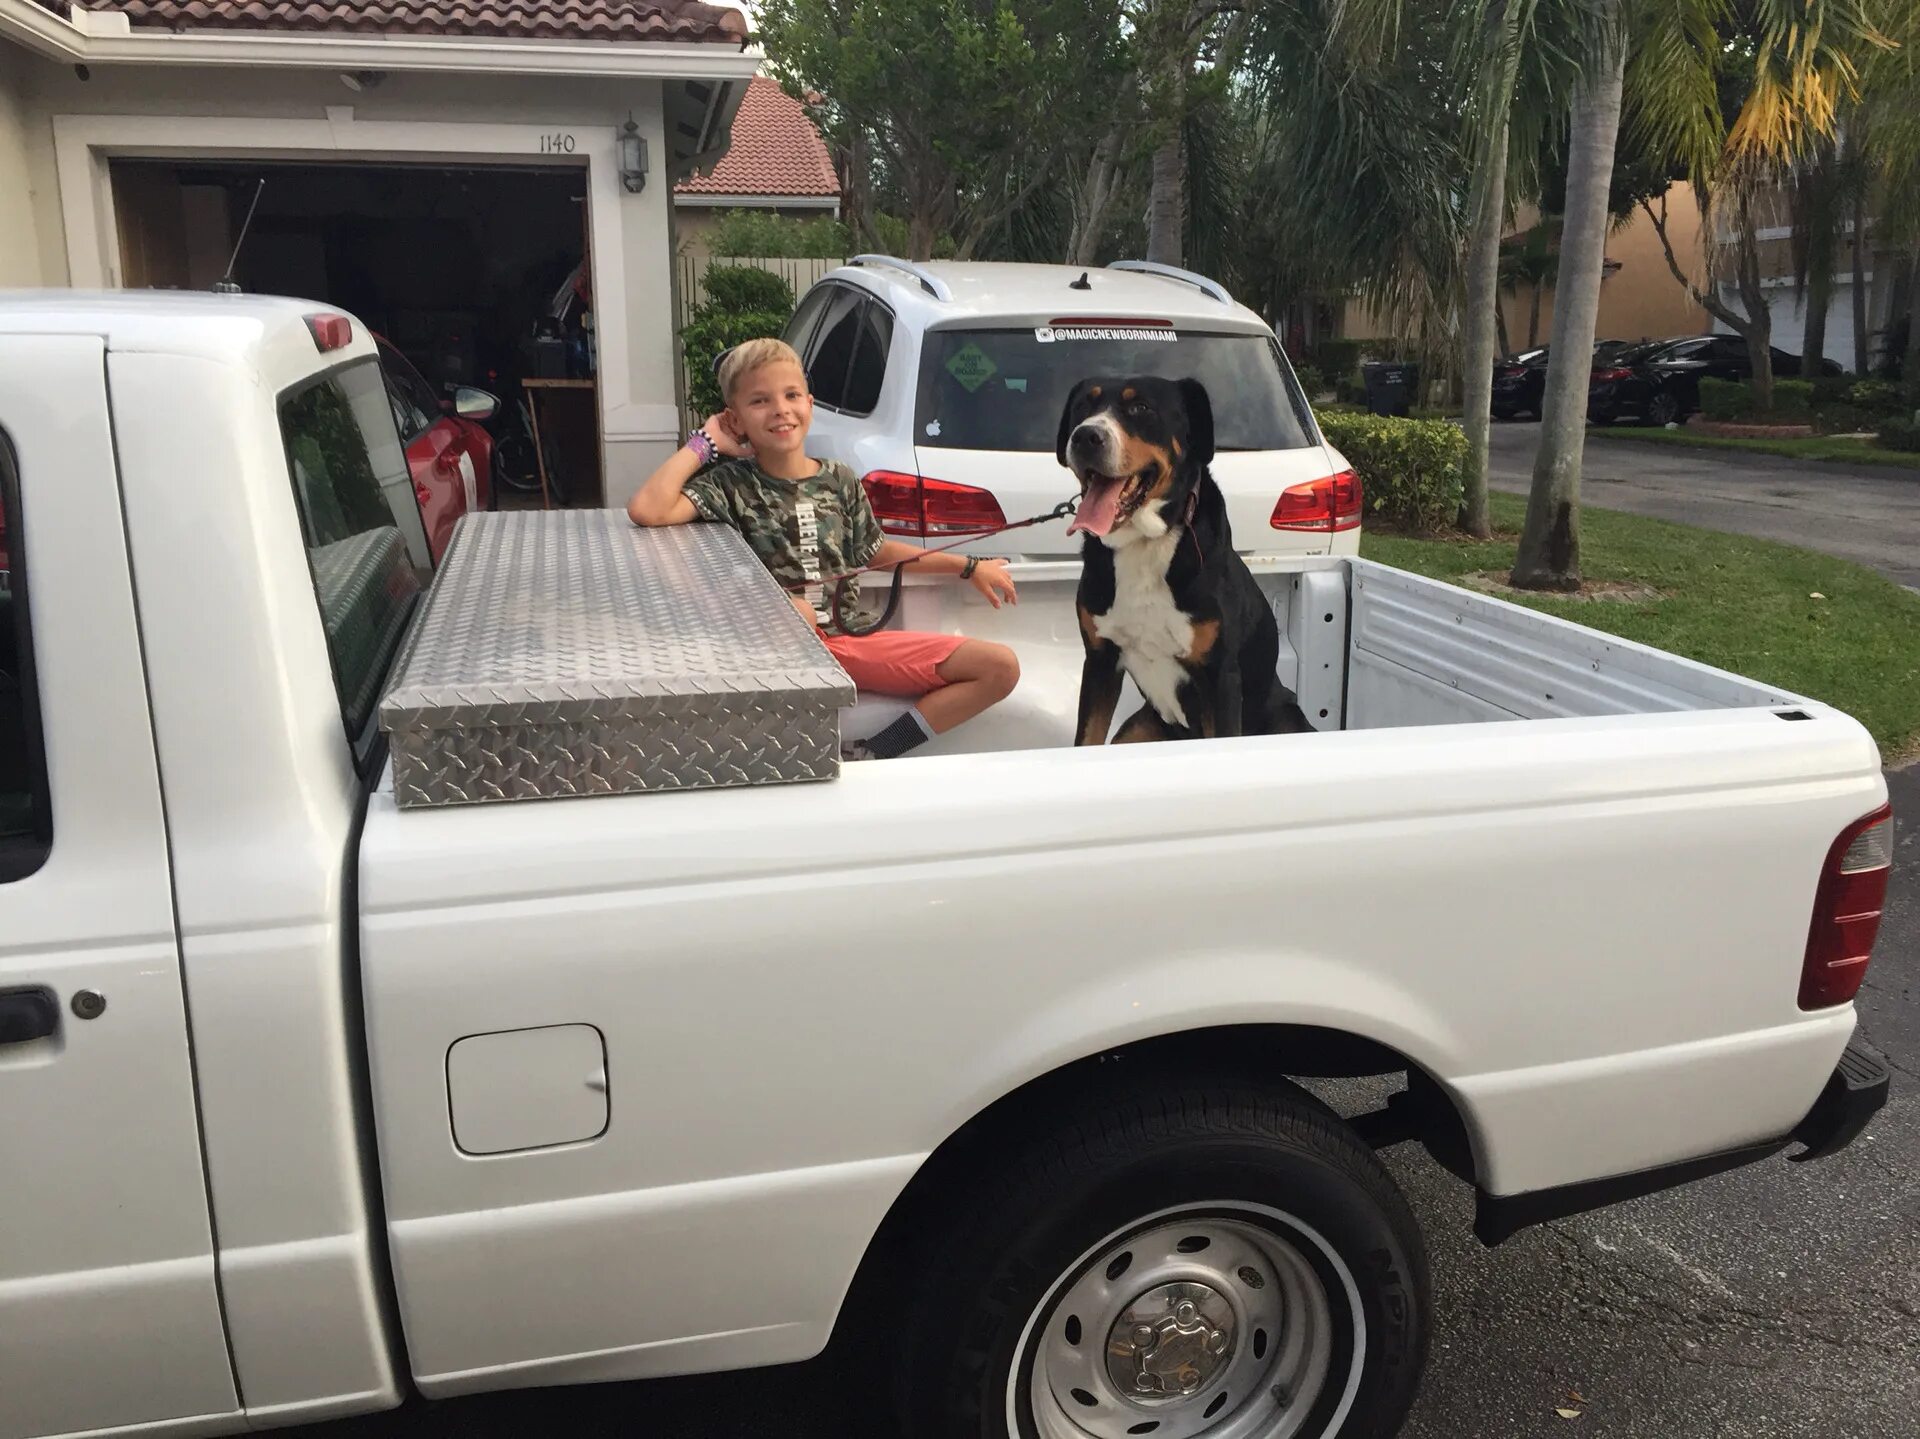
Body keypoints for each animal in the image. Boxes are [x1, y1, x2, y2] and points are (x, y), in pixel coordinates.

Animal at [1059, 372, 1313, 741]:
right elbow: (1087, 739)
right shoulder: (1099, 661)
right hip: (1140, 727)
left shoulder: (1220, 678)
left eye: (1140, 407)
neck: (1144, 544)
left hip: (1286, 720)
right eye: (1082, 406)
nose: (1085, 436)